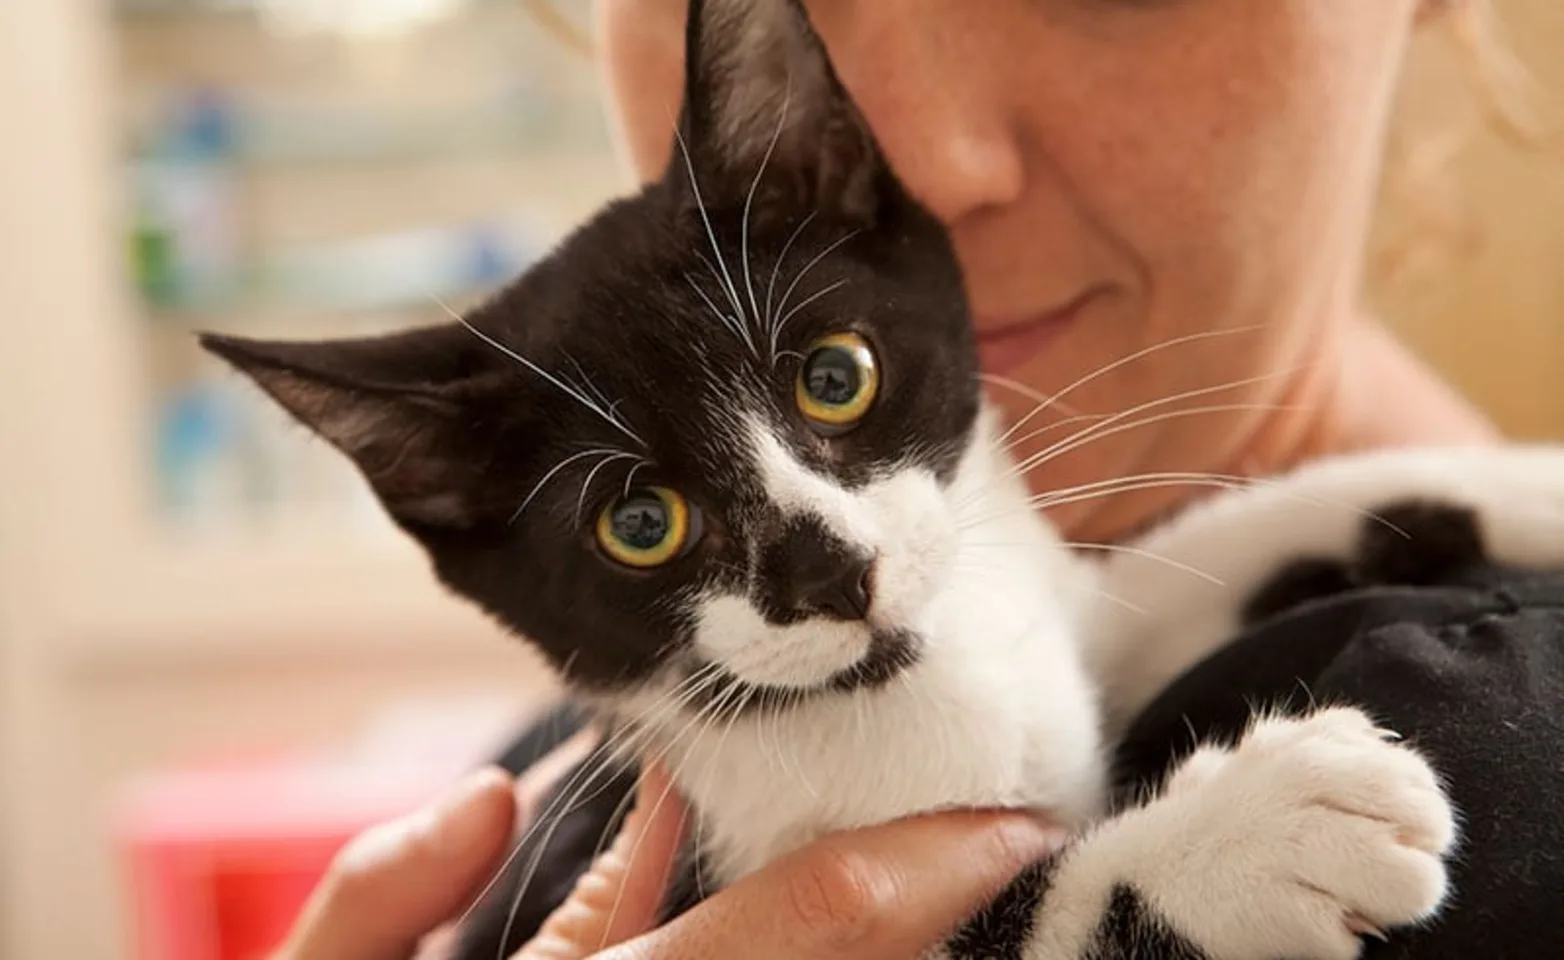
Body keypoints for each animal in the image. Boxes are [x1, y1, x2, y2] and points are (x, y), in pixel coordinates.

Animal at [201, 1, 1564, 960]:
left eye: (834, 376)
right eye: (638, 523)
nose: (829, 571)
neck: (899, 690)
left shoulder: (1056, 619)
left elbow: (1219, 535)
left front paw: (1527, 482)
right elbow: (1026, 910)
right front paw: (1271, 828)